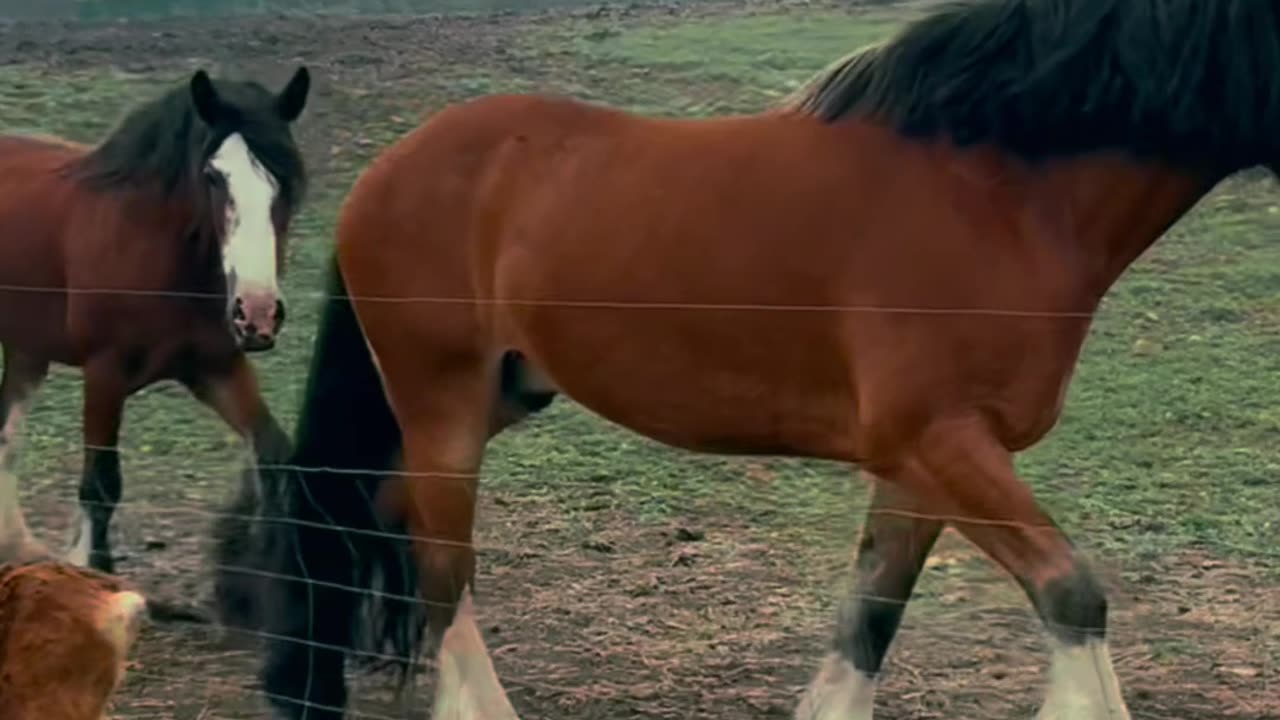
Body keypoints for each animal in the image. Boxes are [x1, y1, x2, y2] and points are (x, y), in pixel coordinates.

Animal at [0, 67, 310, 593]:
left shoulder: (217, 367)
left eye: (285, 180)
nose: (258, 314)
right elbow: (101, 484)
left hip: (26, 349)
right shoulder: (105, 371)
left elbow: (273, 453)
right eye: (213, 176)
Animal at [213, 0, 1280, 717]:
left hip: (496, 395)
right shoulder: (942, 442)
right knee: (440, 561)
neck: (997, 194)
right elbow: (1072, 595)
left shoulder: (925, 466)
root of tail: (394, 166)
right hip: (443, 401)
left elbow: (870, 617)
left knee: (374, 513)